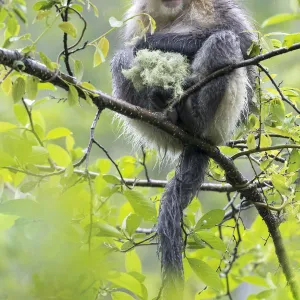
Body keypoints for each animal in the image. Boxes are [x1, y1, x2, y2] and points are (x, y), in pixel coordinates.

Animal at [111, 0, 256, 296]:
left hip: (223, 120)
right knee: (121, 60)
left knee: (224, 40)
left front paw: (153, 42)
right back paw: (163, 105)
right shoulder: (139, 14)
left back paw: (192, 113)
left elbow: (246, 50)